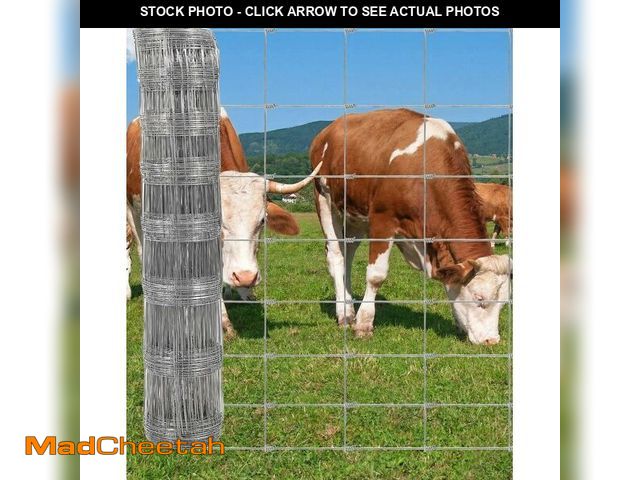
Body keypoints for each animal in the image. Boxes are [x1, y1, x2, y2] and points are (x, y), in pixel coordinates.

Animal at [310, 109, 510, 345]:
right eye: (479, 298)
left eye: (504, 303)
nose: (492, 341)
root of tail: (327, 131)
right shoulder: (382, 219)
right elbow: (376, 275)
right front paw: (364, 324)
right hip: (324, 198)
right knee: (336, 257)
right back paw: (345, 315)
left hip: (353, 215)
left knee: (347, 256)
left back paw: (349, 307)